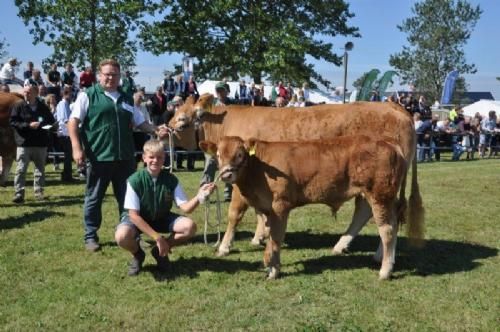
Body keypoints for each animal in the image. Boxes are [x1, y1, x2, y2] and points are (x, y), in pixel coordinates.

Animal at [170, 93, 424, 256]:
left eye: (181, 121)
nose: (164, 129)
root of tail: (396, 107)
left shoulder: (241, 181)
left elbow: (235, 214)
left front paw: (225, 246)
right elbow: (261, 212)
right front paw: (260, 236)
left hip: (382, 185)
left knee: (386, 215)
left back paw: (381, 254)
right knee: (365, 212)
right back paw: (342, 245)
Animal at [199, 136, 414, 280]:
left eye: (240, 155)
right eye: (218, 154)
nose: (226, 175)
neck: (260, 168)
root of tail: (389, 142)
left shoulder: (280, 205)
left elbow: (276, 237)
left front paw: (273, 269)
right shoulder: (267, 208)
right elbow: (269, 234)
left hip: (380, 195)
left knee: (387, 229)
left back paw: (385, 270)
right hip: (373, 196)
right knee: (375, 219)